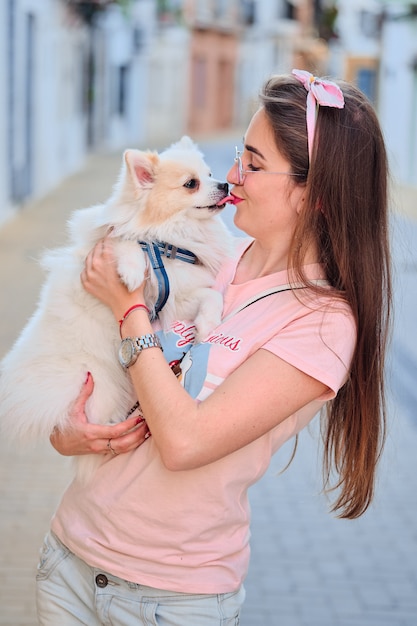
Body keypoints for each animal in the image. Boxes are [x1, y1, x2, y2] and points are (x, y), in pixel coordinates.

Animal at [0, 135, 234, 478]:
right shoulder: (111, 245)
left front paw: (208, 323)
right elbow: (127, 243)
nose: (226, 184)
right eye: (191, 184)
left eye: (210, 174)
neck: (168, 242)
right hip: (97, 385)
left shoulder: (176, 297)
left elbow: (210, 297)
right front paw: (131, 272)